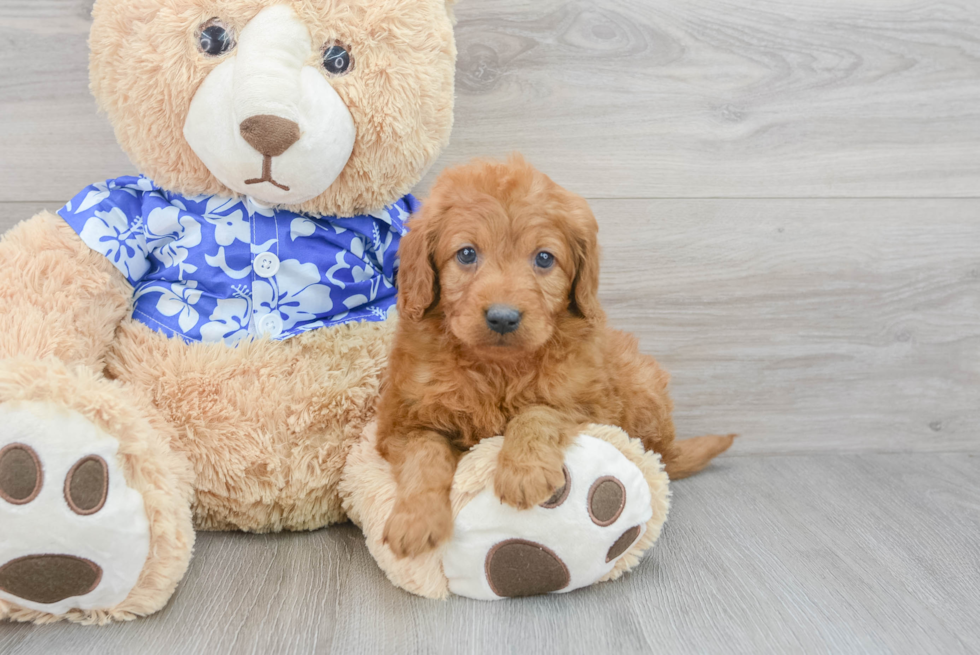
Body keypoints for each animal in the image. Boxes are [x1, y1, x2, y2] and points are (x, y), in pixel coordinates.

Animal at [378, 155, 732, 560]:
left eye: (544, 258)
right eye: (467, 253)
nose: (503, 317)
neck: (498, 368)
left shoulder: (589, 403)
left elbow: (538, 412)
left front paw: (523, 471)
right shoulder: (401, 422)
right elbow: (426, 454)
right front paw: (416, 520)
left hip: (642, 384)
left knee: (659, 456)